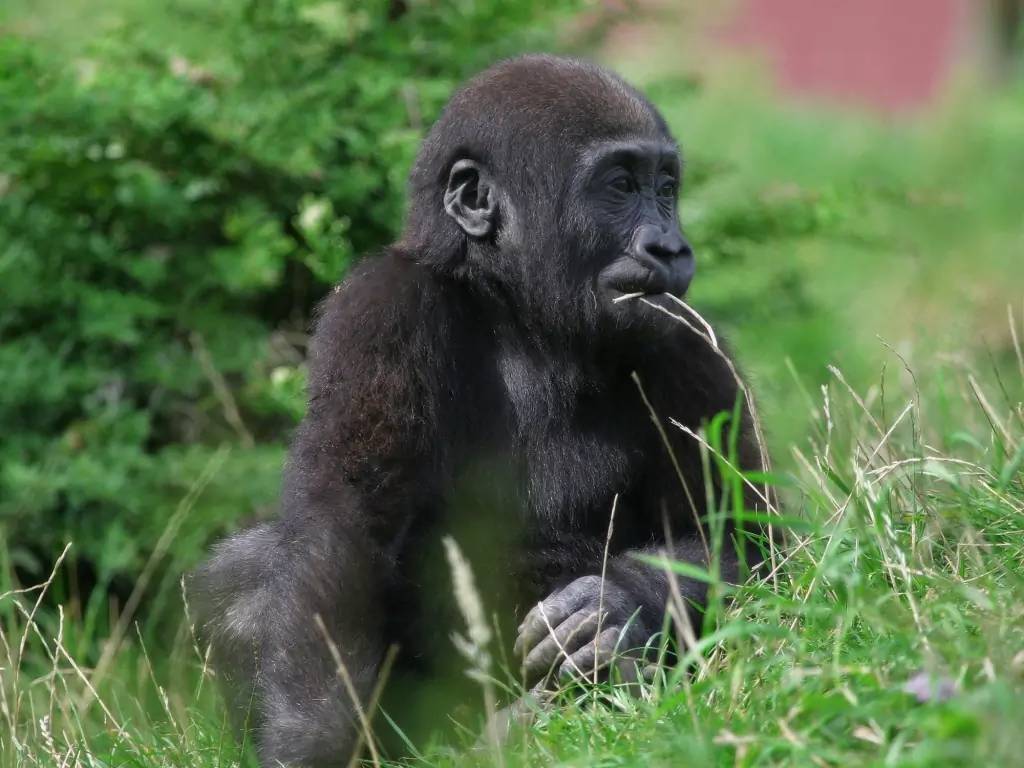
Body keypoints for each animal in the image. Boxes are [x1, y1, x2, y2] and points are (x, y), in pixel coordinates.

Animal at [195, 55, 765, 768]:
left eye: (665, 188)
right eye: (620, 185)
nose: (669, 246)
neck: (518, 315)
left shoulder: (690, 346)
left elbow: (751, 541)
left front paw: (611, 606)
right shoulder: (381, 309)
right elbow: (342, 530)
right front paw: (314, 744)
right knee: (248, 576)